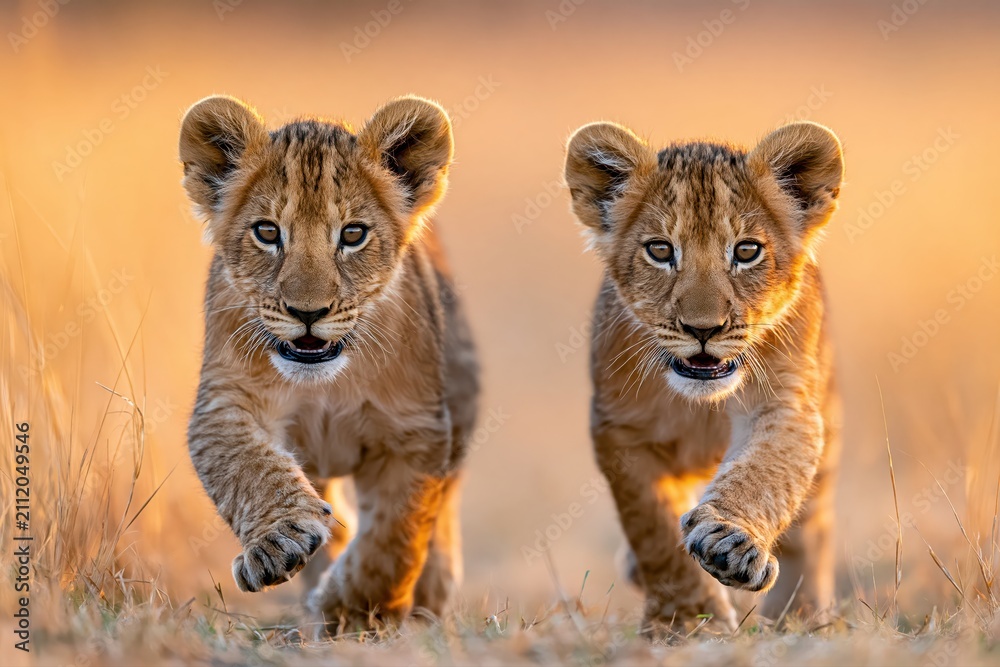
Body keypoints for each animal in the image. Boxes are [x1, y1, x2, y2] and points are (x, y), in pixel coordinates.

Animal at [179, 94, 479, 635]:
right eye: (267, 232)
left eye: (353, 235)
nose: (308, 313)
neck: (325, 385)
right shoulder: (225, 402)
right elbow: (247, 468)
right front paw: (280, 544)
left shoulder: (415, 432)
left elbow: (395, 539)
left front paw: (352, 612)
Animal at [564, 120, 844, 631]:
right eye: (660, 250)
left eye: (747, 251)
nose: (703, 329)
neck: (700, 402)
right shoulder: (619, 430)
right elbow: (653, 530)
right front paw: (689, 622)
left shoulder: (785, 404)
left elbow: (764, 474)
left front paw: (731, 546)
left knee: (811, 530)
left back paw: (804, 614)